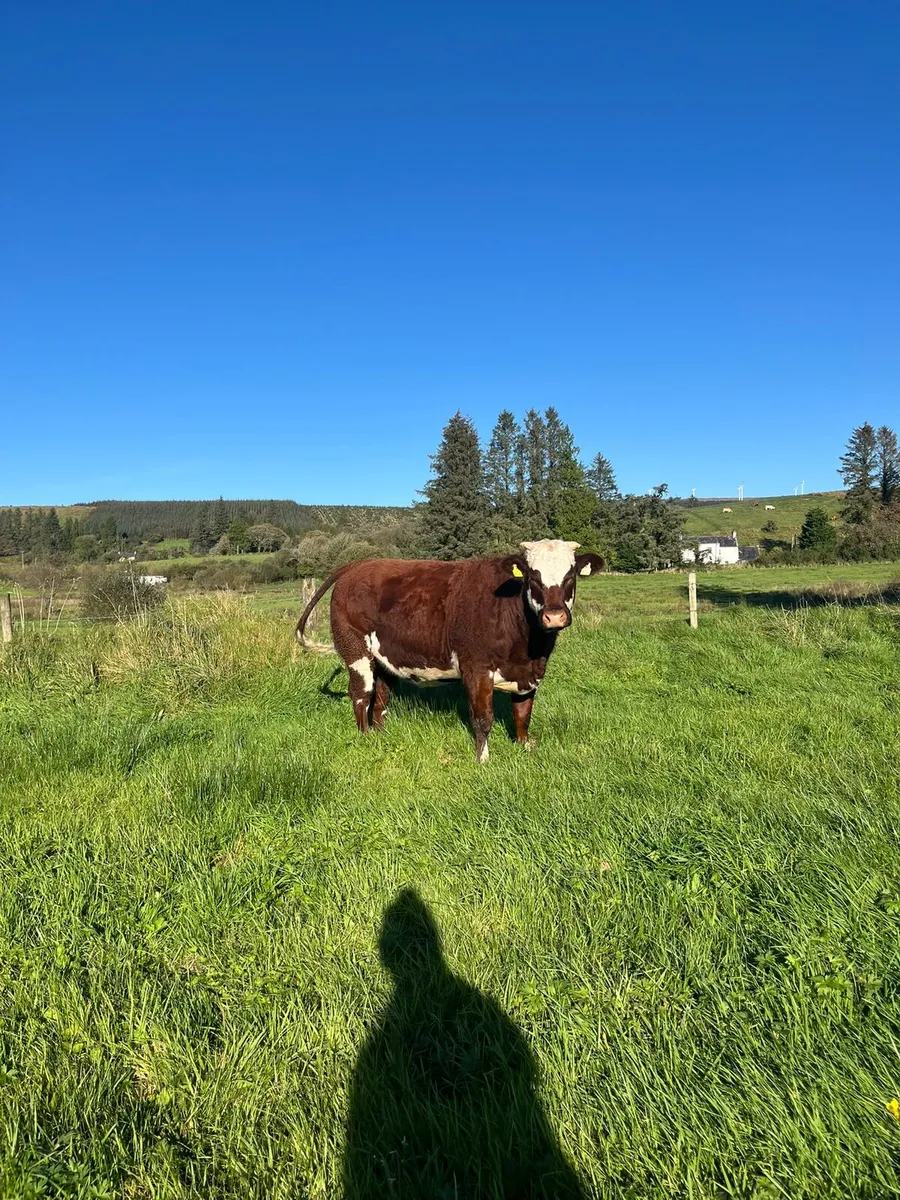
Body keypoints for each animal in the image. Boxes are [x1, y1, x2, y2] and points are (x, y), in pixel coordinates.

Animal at [295, 540, 605, 762]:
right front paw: (483, 760)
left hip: (384, 658)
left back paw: (381, 734)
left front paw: (525, 747)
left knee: (381, 697)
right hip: (355, 650)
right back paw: (365, 737)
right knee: (362, 695)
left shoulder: (529, 673)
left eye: (570, 576)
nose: (554, 616)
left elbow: (523, 715)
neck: (529, 647)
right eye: (532, 577)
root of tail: (358, 565)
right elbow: (483, 718)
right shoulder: (476, 668)